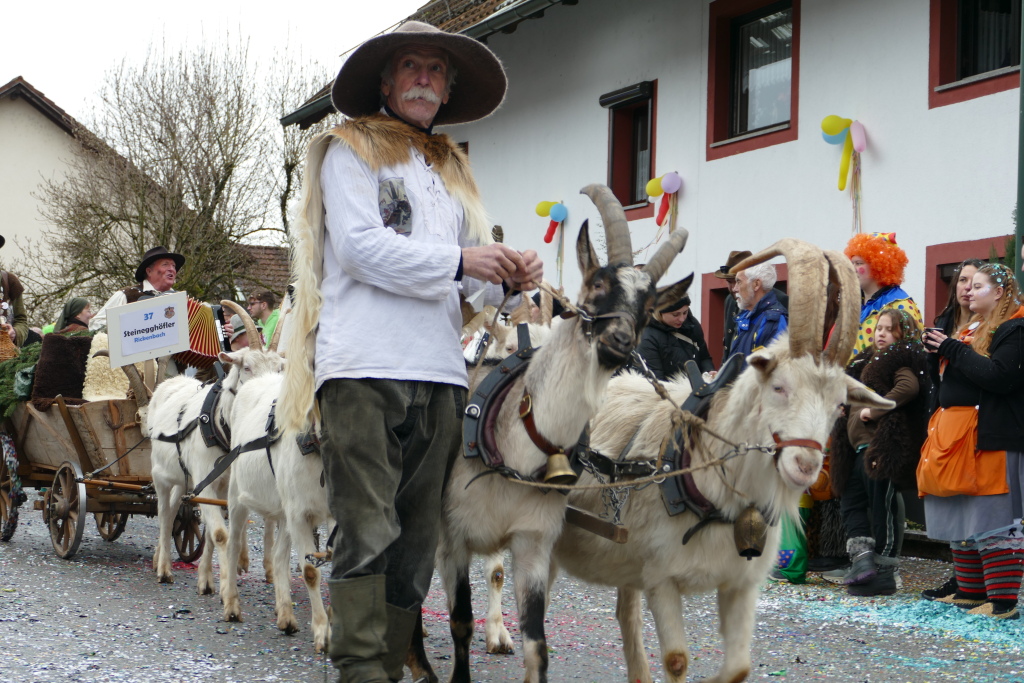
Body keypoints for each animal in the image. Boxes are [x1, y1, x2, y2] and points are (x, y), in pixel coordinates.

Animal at [143, 303, 280, 593]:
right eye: (247, 367)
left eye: (280, 369)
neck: (219, 424)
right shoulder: (205, 479)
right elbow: (219, 533)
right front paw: (224, 585)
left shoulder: (223, 485)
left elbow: (220, 530)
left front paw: (207, 579)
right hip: (160, 474)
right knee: (164, 514)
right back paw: (164, 569)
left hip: (183, 478)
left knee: (174, 510)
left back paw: (160, 558)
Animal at [428, 184, 692, 683]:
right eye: (597, 284)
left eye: (648, 309)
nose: (620, 341)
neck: (516, 446)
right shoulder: (451, 536)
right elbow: (458, 621)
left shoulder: (533, 541)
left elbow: (538, 644)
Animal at [552, 240, 897, 683]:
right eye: (779, 387)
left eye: (840, 405)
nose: (805, 465)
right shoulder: (661, 576)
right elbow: (676, 660)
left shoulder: (740, 583)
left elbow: (738, 667)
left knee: (625, 611)